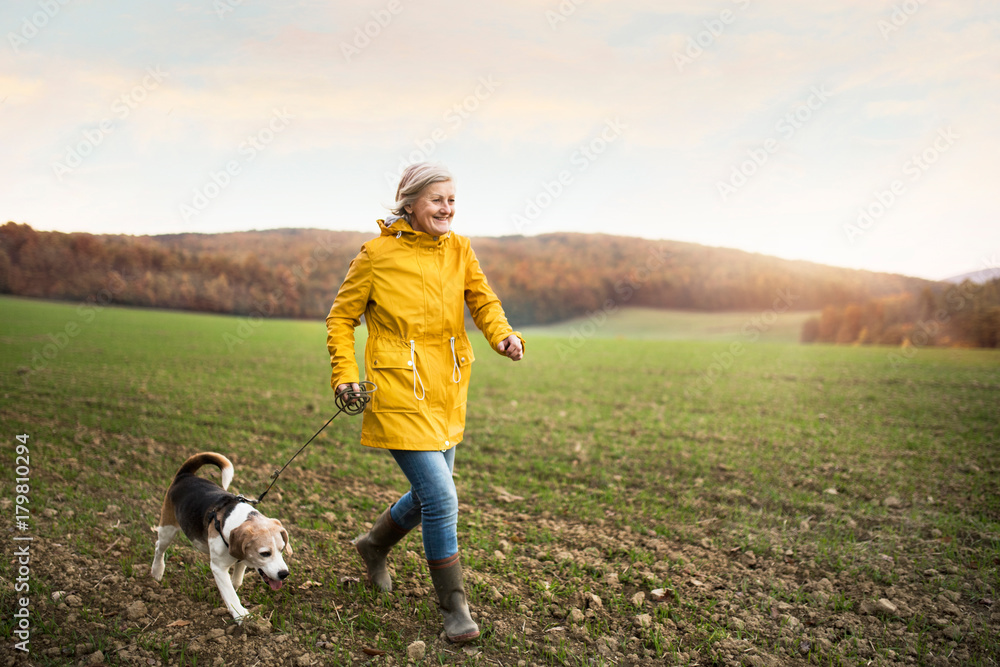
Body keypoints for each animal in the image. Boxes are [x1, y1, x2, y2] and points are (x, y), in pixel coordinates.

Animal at [150, 452, 292, 624]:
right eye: (265, 553)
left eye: (282, 549)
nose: (284, 574)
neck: (239, 520)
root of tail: (185, 475)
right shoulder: (218, 567)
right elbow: (230, 593)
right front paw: (242, 616)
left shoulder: (241, 558)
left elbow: (236, 581)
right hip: (168, 528)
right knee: (159, 547)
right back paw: (157, 571)